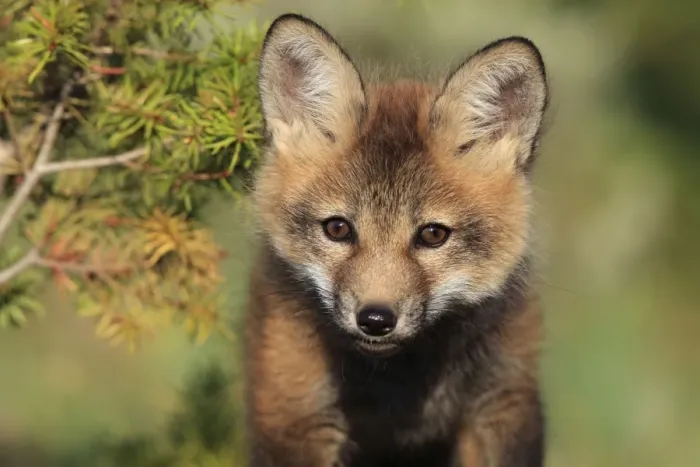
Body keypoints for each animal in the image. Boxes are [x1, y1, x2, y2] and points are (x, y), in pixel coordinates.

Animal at [244, 12, 549, 467]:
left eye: (433, 235)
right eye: (338, 229)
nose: (375, 320)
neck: (396, 389)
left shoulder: (500, 404)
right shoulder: (295, 415)